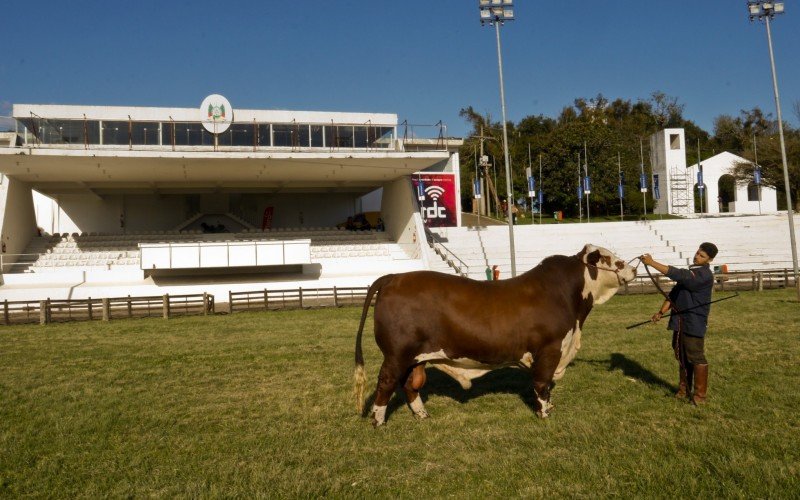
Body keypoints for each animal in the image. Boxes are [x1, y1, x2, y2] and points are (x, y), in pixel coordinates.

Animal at [354, 243, 636, 426]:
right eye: (614, 260)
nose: (633, 269)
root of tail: (394, 277)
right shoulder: (549, 348)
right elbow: (542, 383)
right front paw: (545, 413)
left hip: (414, 357)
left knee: (410, 385)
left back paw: (422, 415)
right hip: (396, 354)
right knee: (386, 382)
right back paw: (378, 421)